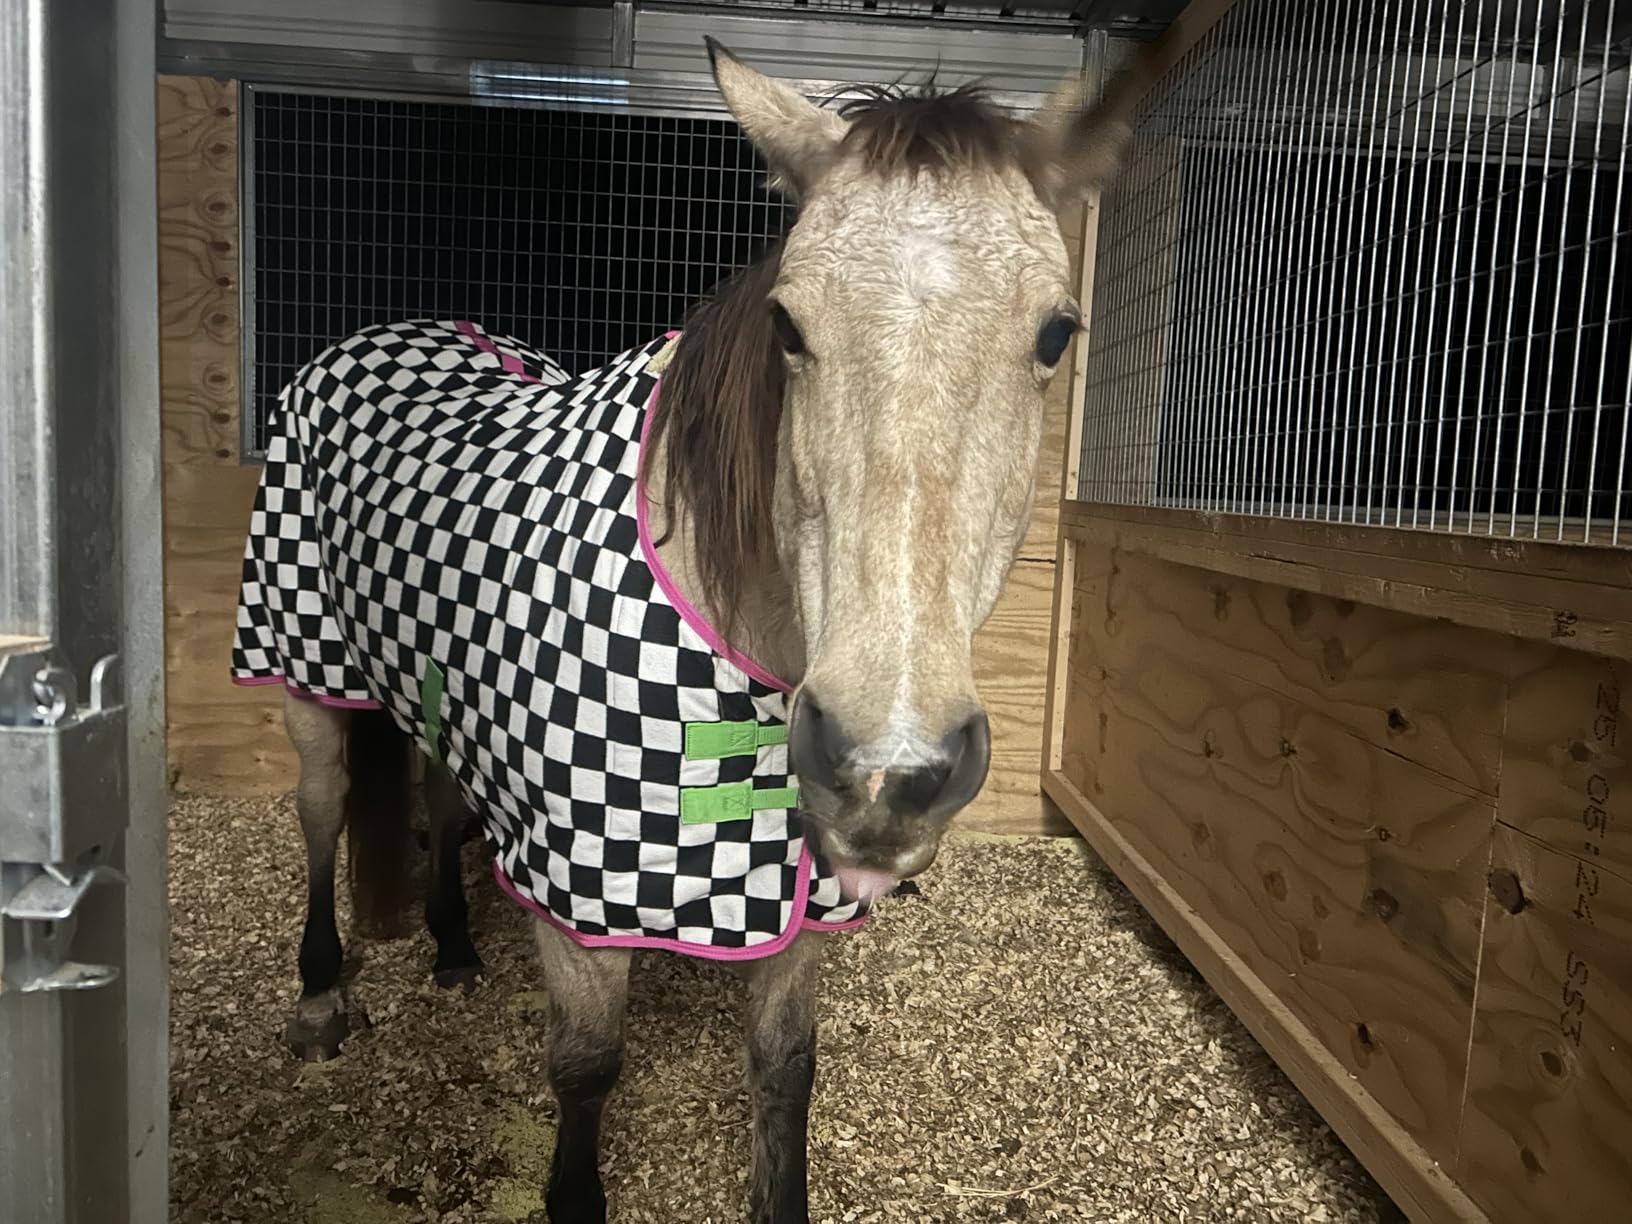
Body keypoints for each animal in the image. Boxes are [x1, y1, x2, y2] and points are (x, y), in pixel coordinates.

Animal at [231, 35, 1170, 1224]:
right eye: (788, 325)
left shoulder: (796, 903)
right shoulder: (579, 905)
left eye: (1056, 331)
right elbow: (587, 1070)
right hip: (298, 657)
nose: (885, 772)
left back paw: (449, 946)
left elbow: (784, 1072)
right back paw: (319, 996)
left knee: (442, 800)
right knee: (320, 809)